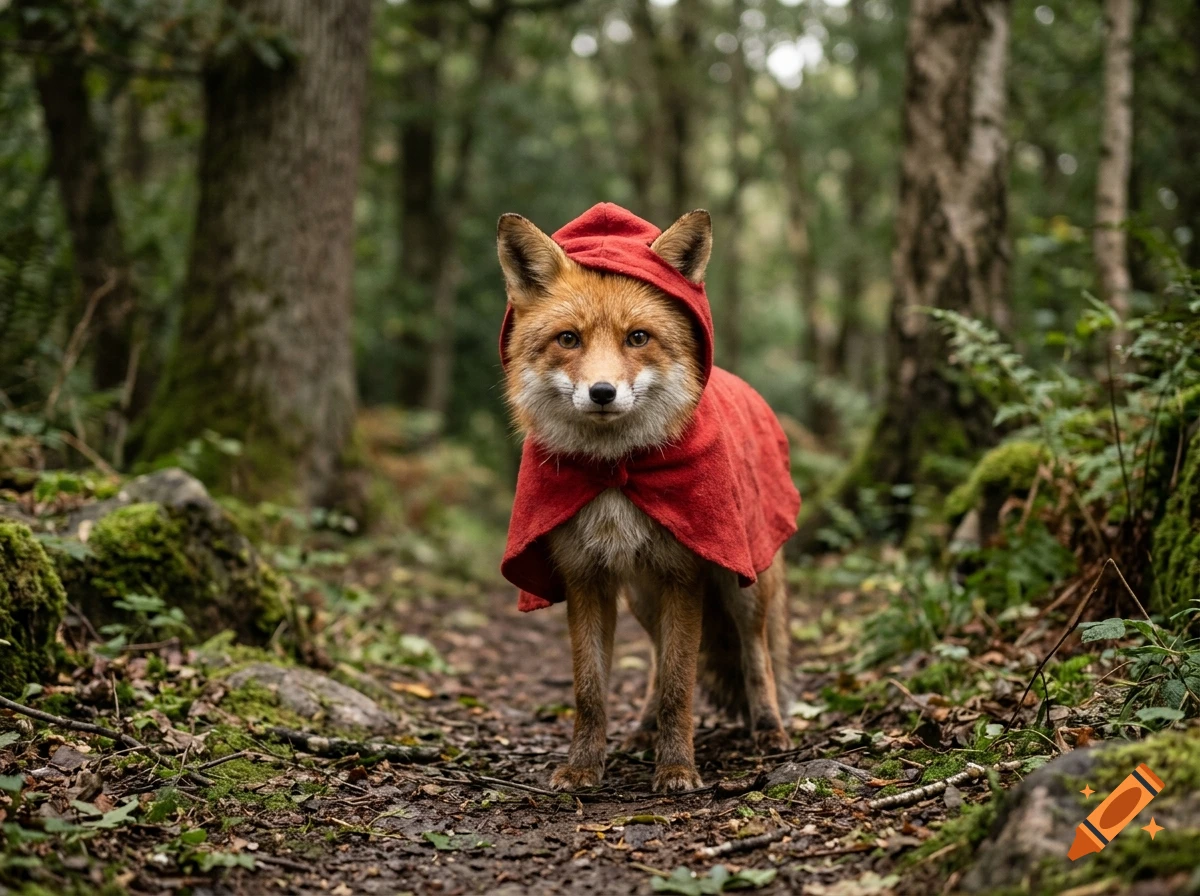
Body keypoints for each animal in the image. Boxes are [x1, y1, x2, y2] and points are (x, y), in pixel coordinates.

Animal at [497, 203, 800, 793]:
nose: (602, 393)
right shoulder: (586, 577)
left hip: (744, 585)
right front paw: (584, 766)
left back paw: (769, 729)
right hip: (642, 596)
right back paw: (640, 731)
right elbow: (591, 690)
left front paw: (678, 768)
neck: (618, 471)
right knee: (661, 657)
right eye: (568, 339)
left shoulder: (684, 573)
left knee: (756, 658)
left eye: (638, 337)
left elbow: (683, 687)